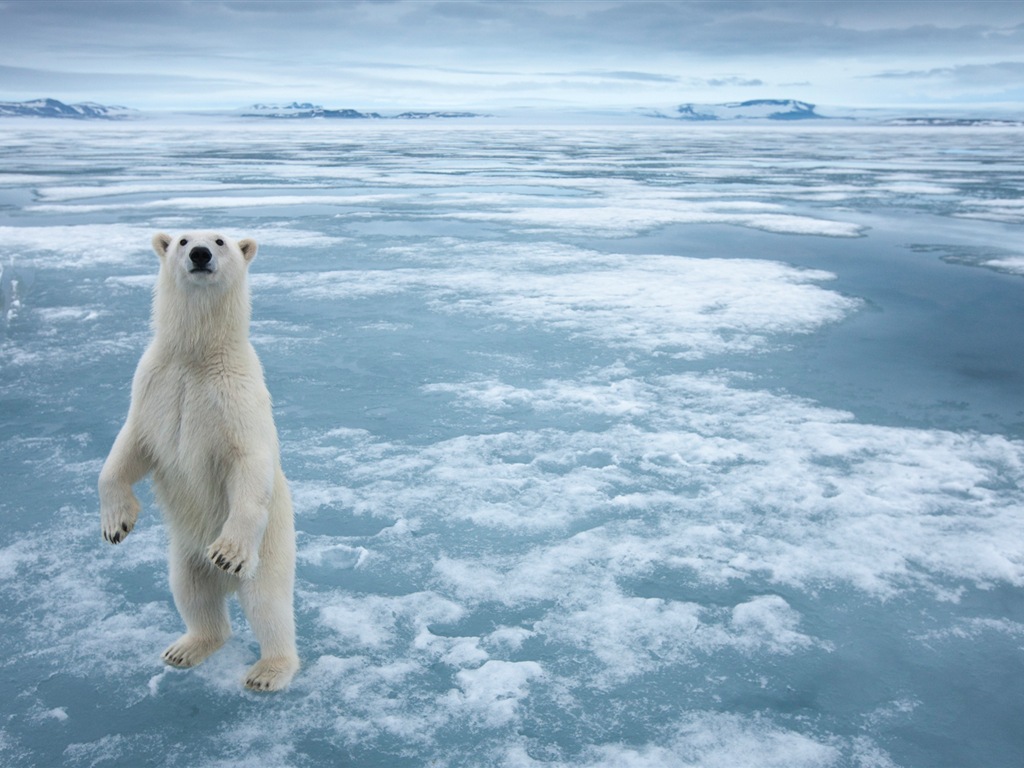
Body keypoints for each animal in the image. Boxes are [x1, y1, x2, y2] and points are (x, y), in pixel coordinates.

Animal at [98, 231, 299, 696]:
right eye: (183, 239)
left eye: (221, 240)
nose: (200, 254)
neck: (196, 356)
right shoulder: (153, 386)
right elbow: (128, 449)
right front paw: (116, 524)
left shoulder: (236, 397)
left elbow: (249, 462)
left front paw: (227, 551)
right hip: (184, 553)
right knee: (192, 593)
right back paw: (186, 648)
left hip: (272, 547)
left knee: (268, 604)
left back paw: (268, 670)